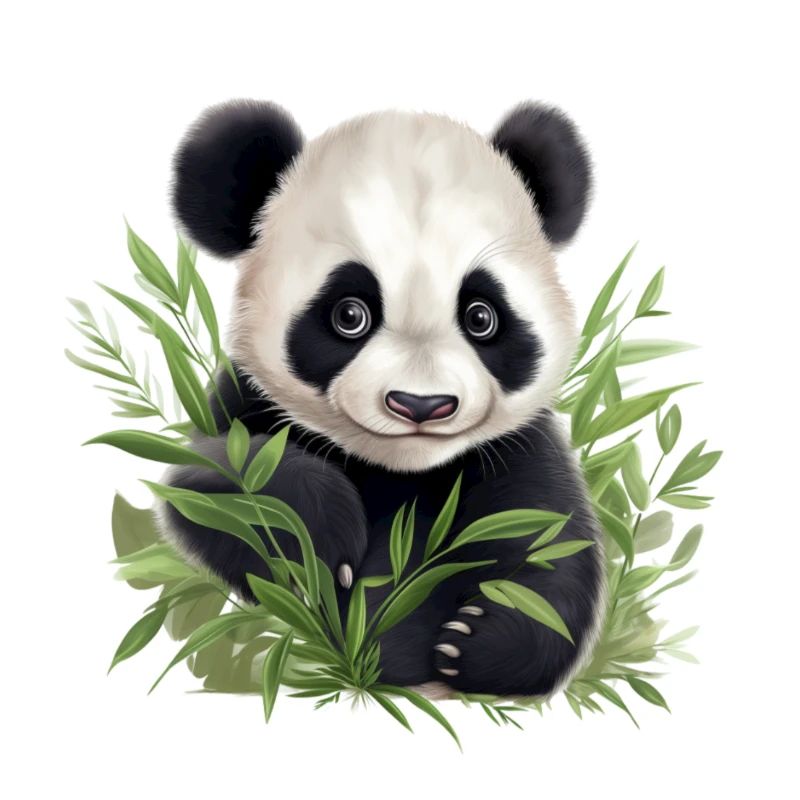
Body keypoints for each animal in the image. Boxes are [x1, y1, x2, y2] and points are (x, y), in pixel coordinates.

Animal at [161, 98, 605, 698]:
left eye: (481, 316)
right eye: (350, 314)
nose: (420, 404)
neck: (401, 468)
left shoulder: (518, 446)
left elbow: (551, 542)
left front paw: (477, 642)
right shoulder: (245, 400)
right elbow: (211, 479)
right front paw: (319, 542)